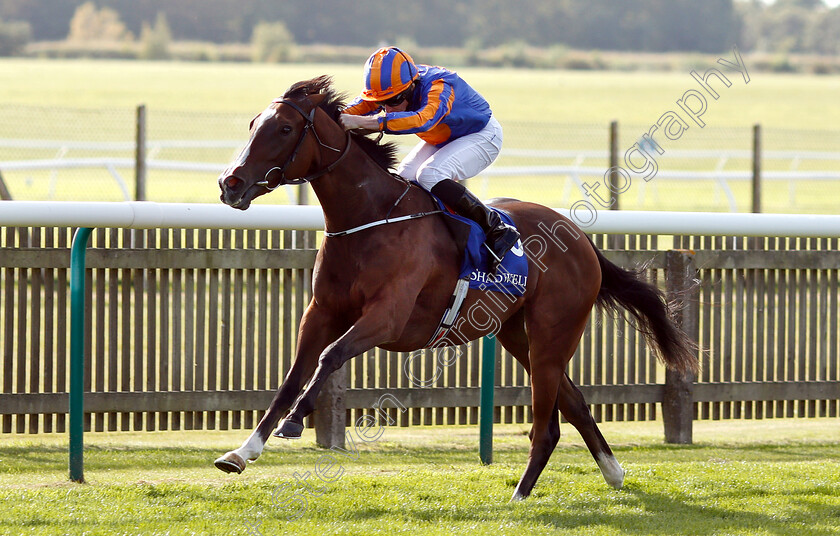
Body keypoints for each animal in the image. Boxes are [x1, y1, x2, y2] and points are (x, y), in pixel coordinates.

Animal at [215, 76, 696, 502]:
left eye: (284, 129)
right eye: (253, 123)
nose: (230, 184)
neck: (368, 218)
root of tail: (581, 239)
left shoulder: (386, 318)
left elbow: (330, 356)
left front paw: (295, 421)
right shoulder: (321, 312)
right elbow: (292, 376)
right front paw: (241, 452)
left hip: (553, 334)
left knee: (547, 425)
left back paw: (520, 495)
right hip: (516, 333)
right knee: (574, 402)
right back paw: (613, 473)